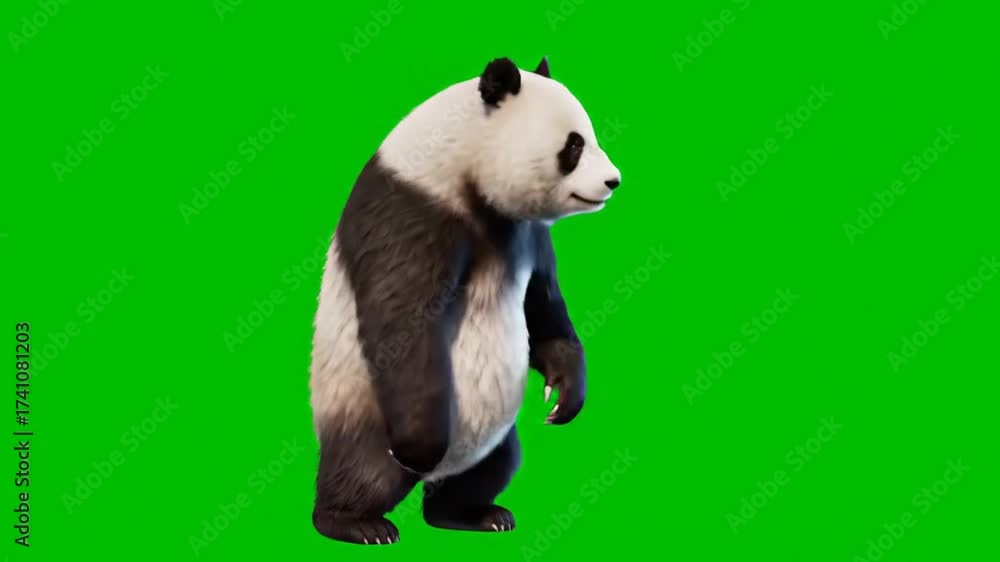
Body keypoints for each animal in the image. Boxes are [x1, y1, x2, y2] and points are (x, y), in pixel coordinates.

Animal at [309, 56, 622, 545]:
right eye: (574, 145)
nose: (613, 181)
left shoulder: (524, 231)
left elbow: (543, 306)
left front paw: (564, 396)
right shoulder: (413, 210)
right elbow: (403, 321)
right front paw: (418, 448)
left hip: (495, 434)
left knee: (491, 468)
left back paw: (471, 514)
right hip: (363, 406)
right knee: (365, 468)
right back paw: (356, 521)